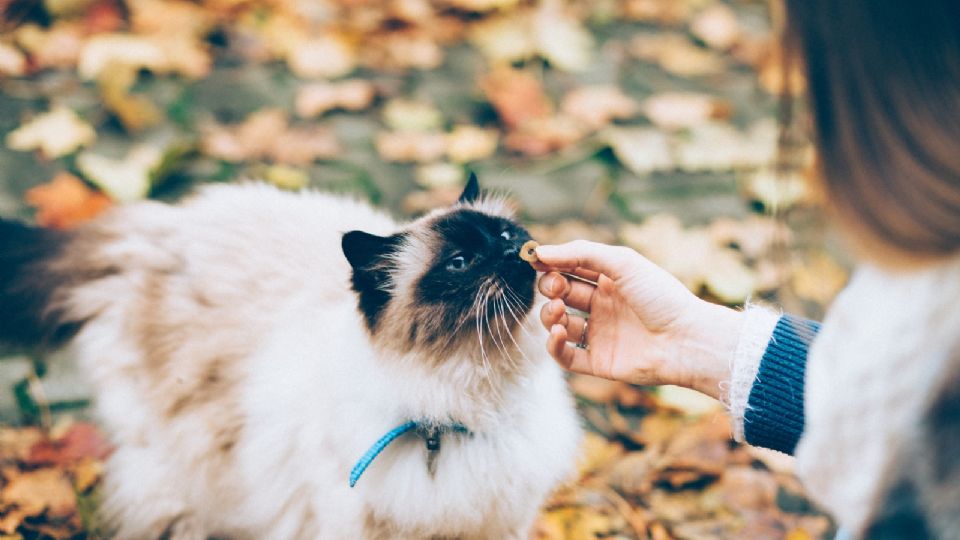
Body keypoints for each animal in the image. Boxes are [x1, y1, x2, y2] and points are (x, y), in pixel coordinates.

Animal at [0, 175, 584, 536]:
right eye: (461, 263)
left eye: (507, 234)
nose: (513, 252)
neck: (469, 409)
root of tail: (155, 228)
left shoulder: (503, 522)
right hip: (184, 464)